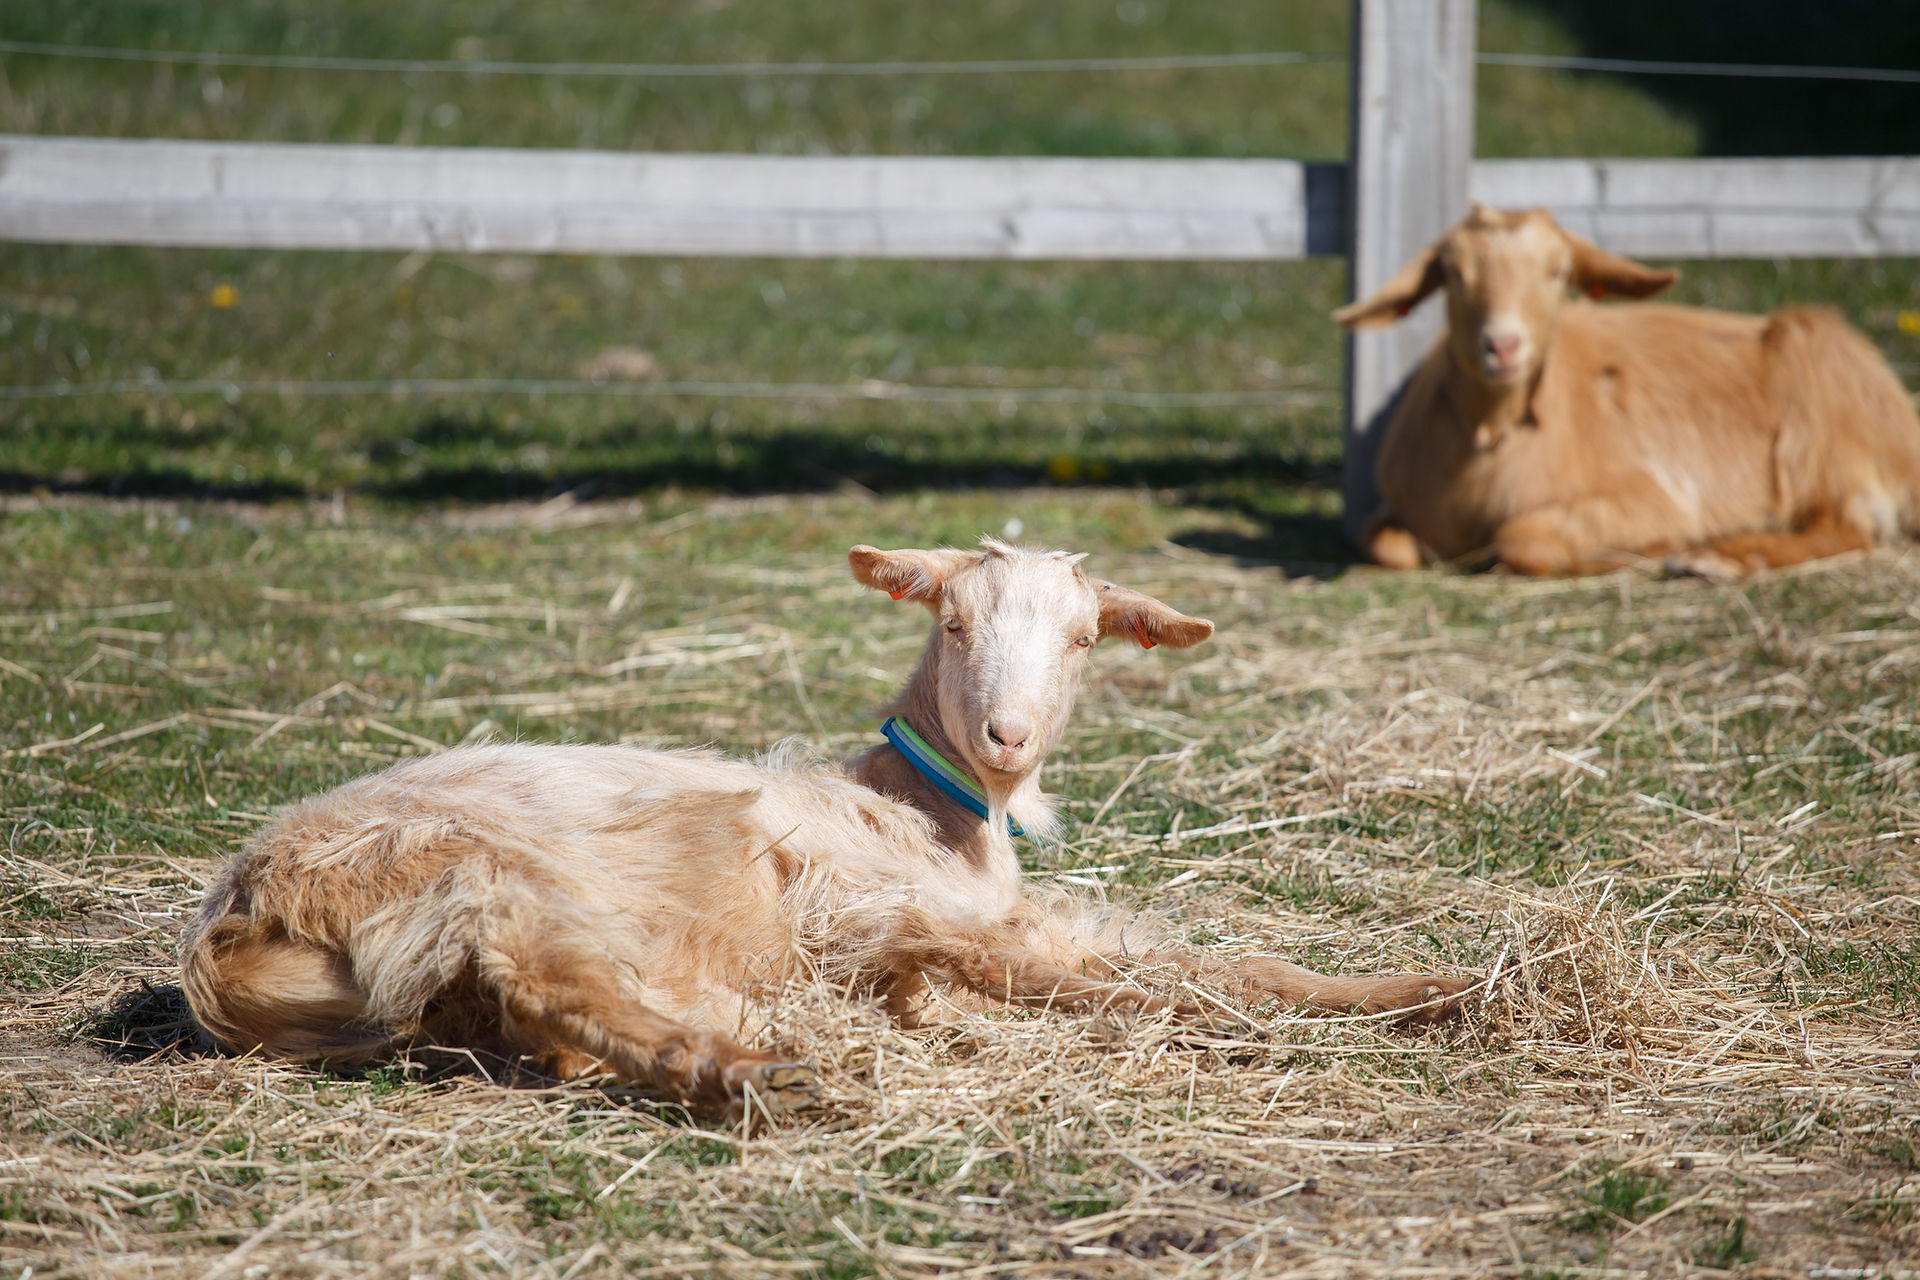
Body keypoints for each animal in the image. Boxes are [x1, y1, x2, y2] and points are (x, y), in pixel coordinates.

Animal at [181, 539, 1470, 1119]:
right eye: (952, 622)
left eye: (1084, 639)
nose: (1005, 735)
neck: (924, 810)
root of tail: (234, 918)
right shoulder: (881, 907)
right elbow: (1171, 980)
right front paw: (1429, 994)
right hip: (473, 875)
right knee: (545, 981)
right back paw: (748, 1070)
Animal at [1335, 204, 1920, 577]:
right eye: (1454, 273)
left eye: (1557, 272)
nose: (1502, 346)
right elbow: (1384, 543)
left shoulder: (1654, 497)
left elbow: (1522, 537)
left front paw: (1639, 553)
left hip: (1817, 397)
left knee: (1847, 527)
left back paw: (1717, 558)